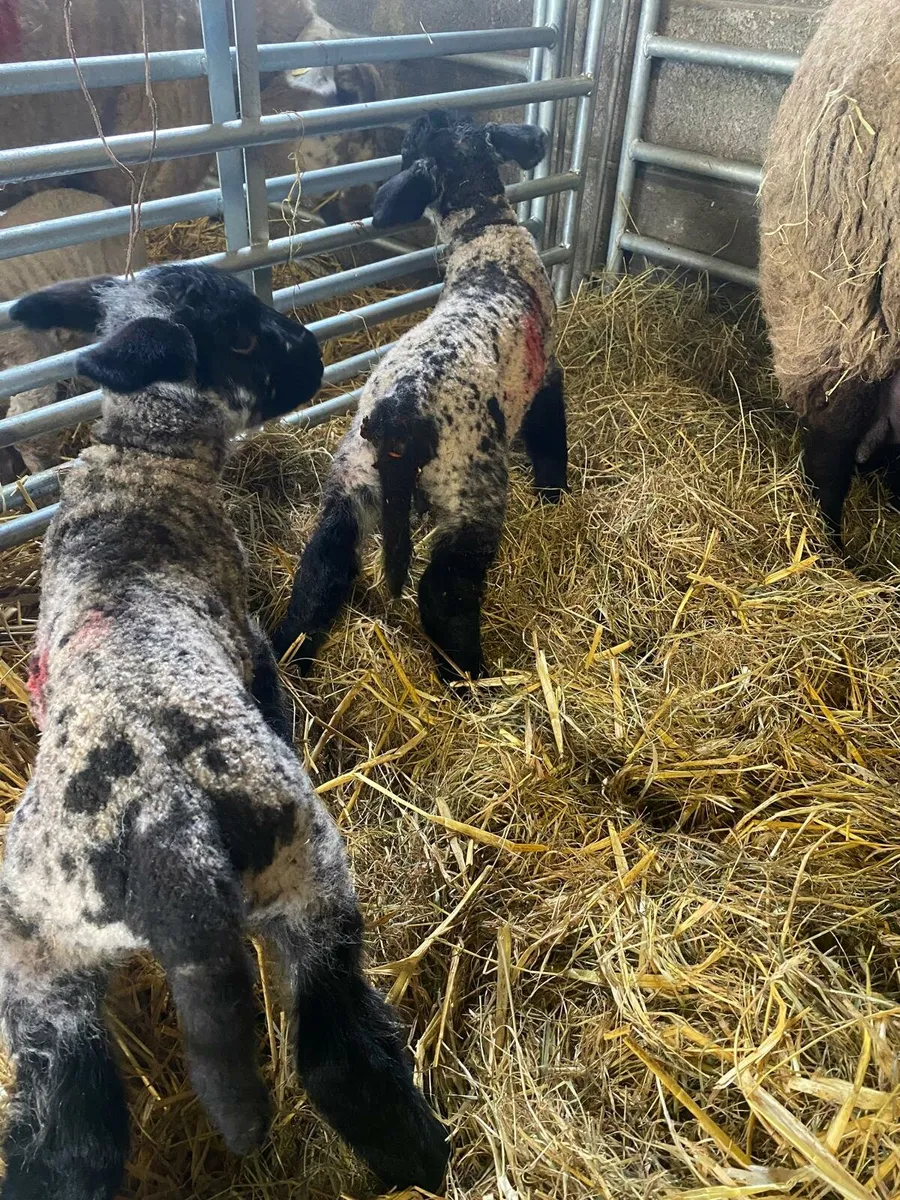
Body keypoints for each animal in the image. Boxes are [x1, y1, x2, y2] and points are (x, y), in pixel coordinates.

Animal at [0, 262, 449, 1200]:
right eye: (240, 338)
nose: (311, 350)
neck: (144, 468)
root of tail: (172, 856)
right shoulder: (250, 642)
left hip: (38, 952)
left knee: (70, 1131)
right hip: (309, 869)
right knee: (332, 1046)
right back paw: (423, 1156)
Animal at [271, 109, 566, 682]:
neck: (485, 240)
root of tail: (398, 412)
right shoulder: (546, 377)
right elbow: (549, 436)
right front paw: (555, 494)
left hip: (352, 477)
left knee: (324, 565)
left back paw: (290, 656)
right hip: (470, 489)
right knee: (443, 590)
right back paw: (472, 677)